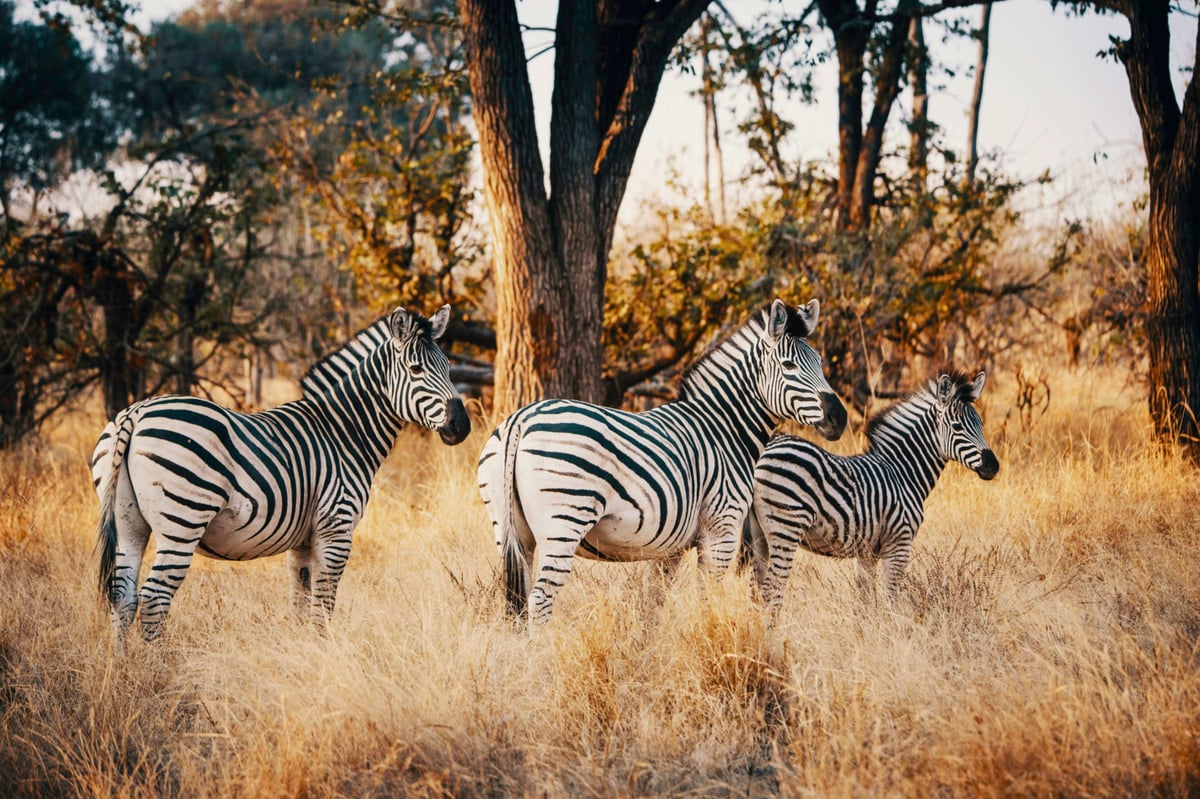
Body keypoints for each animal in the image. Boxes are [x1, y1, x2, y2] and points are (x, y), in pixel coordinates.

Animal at [92, 304, 472, 643]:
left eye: (448, 366)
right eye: (416, 369)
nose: (462, 426)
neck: (344, 432)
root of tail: (137, 412)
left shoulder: (303, 541)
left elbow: (301, 602)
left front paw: (302, 651)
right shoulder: (337, 528)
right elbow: (324, 605)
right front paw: (324, 654)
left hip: (128, 522)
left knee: (124, 596)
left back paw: (123, 668)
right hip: (183, 519)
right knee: (154, 597)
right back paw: (155, 666)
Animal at [472, 298, 849, 623]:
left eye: (819, 363)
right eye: (789, 366)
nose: (839, 418)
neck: (724, 427)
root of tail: (520, 420)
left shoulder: (672, 546)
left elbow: (653, 602)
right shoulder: (722, 528)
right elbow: (707, 598)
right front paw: (708, 640)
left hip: (511, 529)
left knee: (518, 597)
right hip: (565, 520)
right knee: (539, 599)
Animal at [744, 369, 998, 609]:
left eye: (980, 424)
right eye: (957, 426)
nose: (993, 466)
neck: (903, 472)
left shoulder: (867, 551)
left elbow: (864, 598)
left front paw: (864, 625)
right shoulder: (899, 542)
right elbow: (891, 598)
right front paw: (893, 625)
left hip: (760, 534)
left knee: (757, 589)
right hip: (786, 526)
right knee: (771, 588)